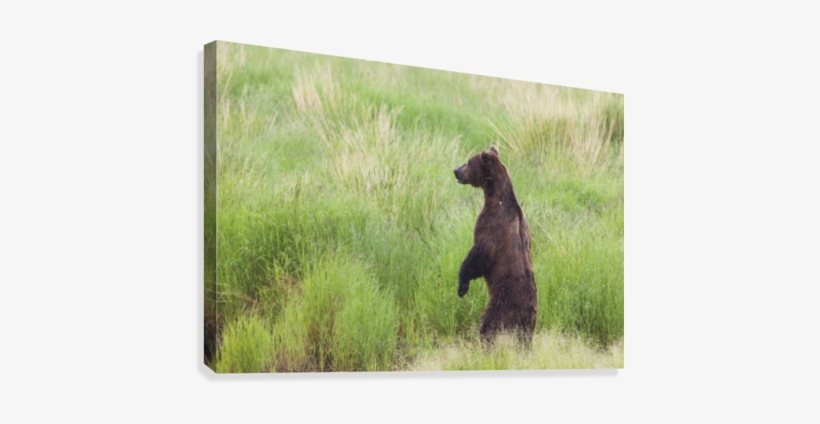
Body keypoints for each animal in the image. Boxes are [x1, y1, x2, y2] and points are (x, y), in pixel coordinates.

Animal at [453, 145, 537, 343]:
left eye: (469, 162)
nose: (455, 171)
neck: (496, 199)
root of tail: (525, 314)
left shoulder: (492, 229)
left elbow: (478, 255)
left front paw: (462, 287)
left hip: (501, 307)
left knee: (489, 327)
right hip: (529, 326)